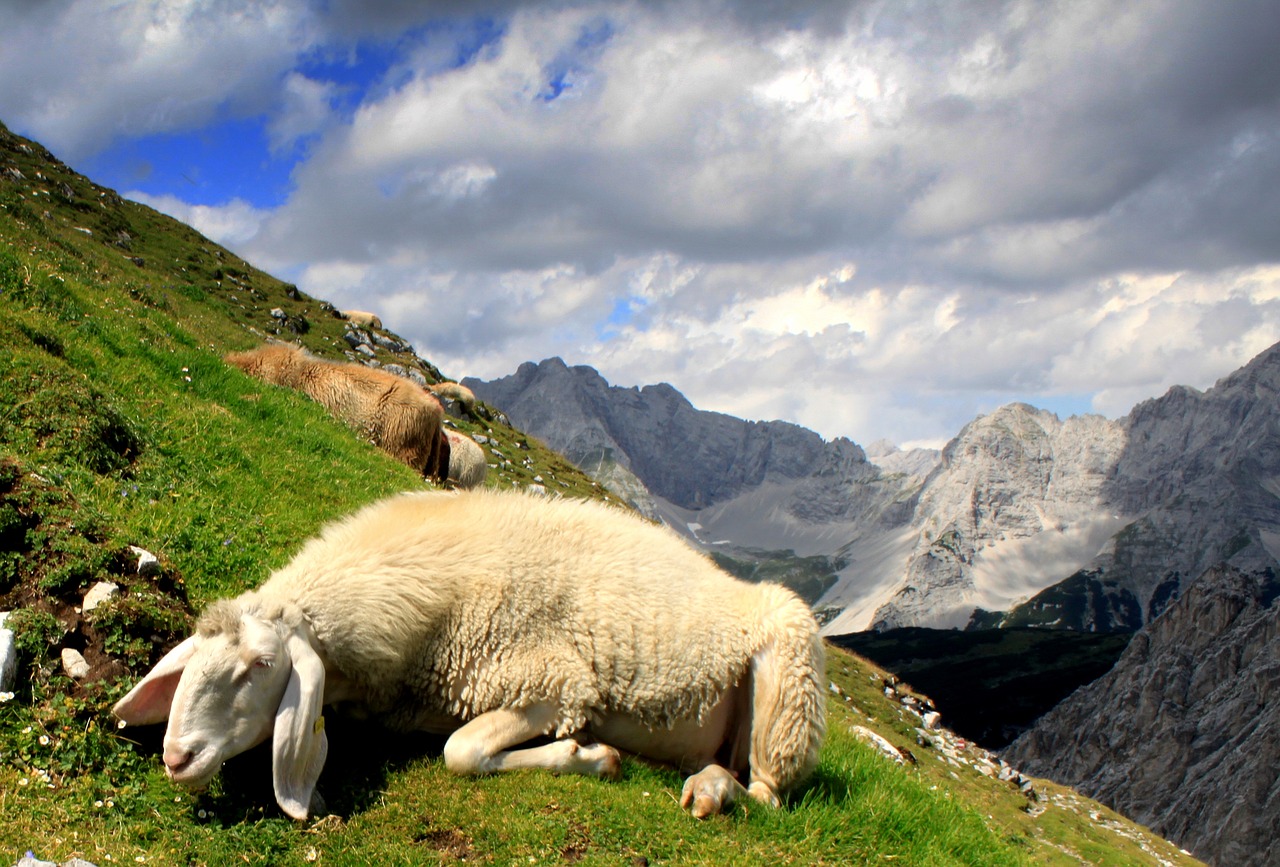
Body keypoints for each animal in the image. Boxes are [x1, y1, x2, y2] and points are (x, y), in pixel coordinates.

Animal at [115, 486, 824, 819]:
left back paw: (713, 791)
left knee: (768, 792)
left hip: (789, 685)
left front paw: (590, 757)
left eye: (262, 665)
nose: (176, 757)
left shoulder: (552, 685)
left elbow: (461, 752)